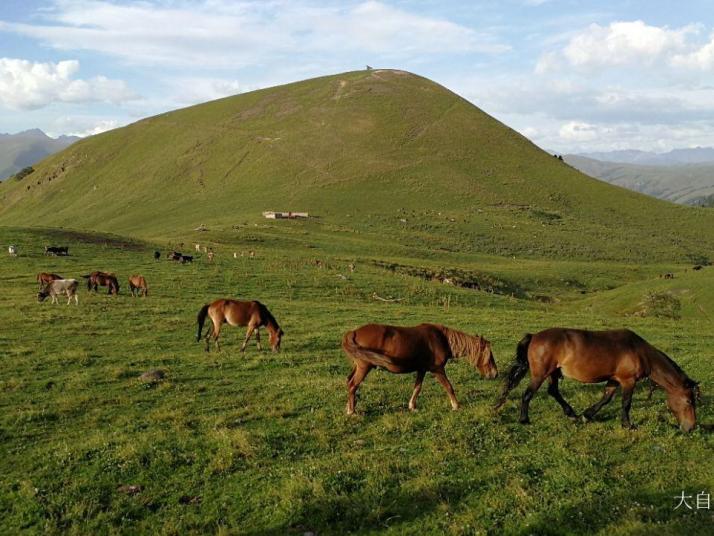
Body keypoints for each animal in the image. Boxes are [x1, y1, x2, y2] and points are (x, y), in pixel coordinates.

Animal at [340, 322, 496, 414]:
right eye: (489, 356)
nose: (495, 374)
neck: (442, 339)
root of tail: (353, 332)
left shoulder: (422, 370)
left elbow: (417, 387)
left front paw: (412, 406)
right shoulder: (437, 369)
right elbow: (448, 387)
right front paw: (456, 405)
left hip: (358, 366)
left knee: (349, 382)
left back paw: (349, 406)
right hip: (364, 367)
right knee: (353, 385)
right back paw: (352, 411)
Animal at [496, 328, 696, 434]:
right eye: (688, 401)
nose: (691, 427)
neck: (639, 352)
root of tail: (535, 336)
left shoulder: (614, 380)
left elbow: (605, 399)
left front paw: (587, 415)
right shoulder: (628, 381)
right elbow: (626, 403)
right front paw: (628, 425)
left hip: (553, 373)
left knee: (553, 392)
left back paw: (571, 413)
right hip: (540, 374)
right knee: (528, 393)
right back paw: (524, 419)